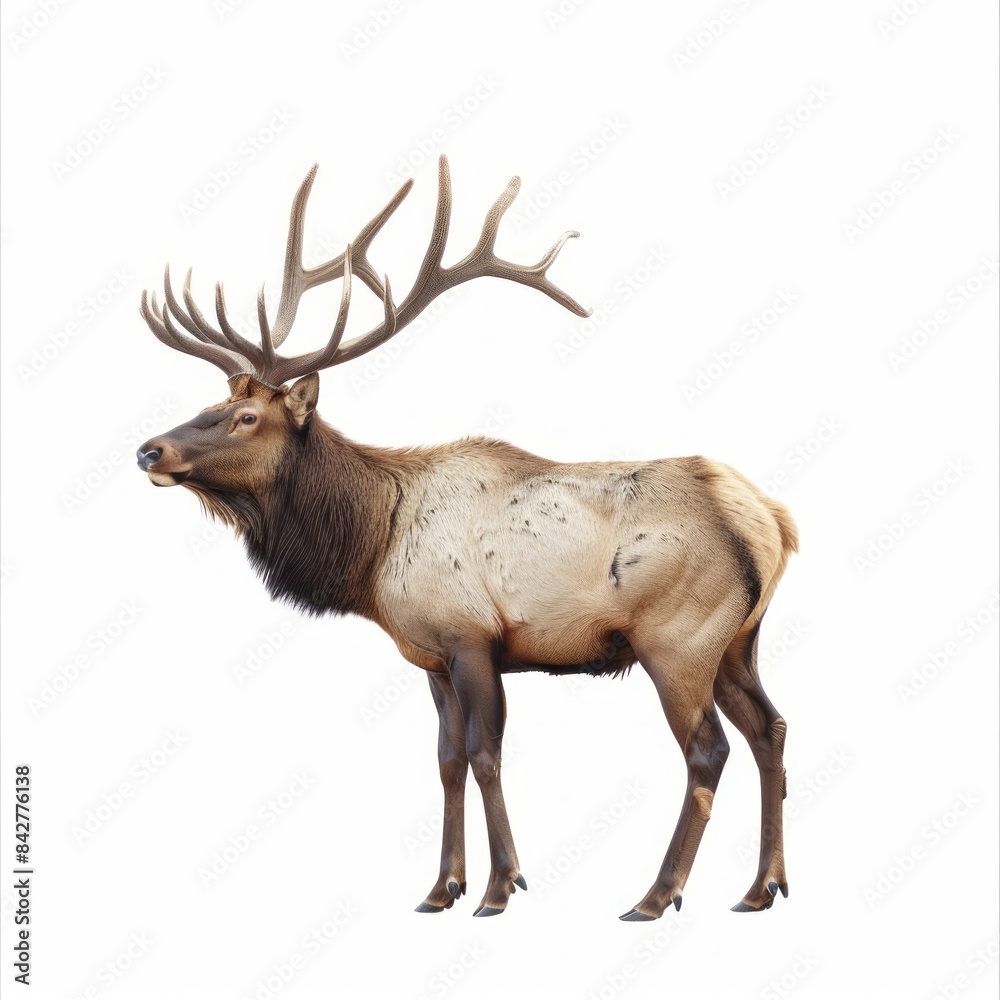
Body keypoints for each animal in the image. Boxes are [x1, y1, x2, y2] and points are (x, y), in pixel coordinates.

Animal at [135, 155, 797, 921]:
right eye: (212, 403)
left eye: (246, 417)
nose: (149, 450)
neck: (370, 546)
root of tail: (773, 522)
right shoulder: (429, 655)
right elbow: (447, 761)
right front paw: (440, 886)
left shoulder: (472, 636)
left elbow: (485, 756)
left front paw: (500, 886)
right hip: (739, 641)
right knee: (771, 730)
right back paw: (762, 886)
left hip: (677, 639)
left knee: (707, 750)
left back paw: (657, 895)